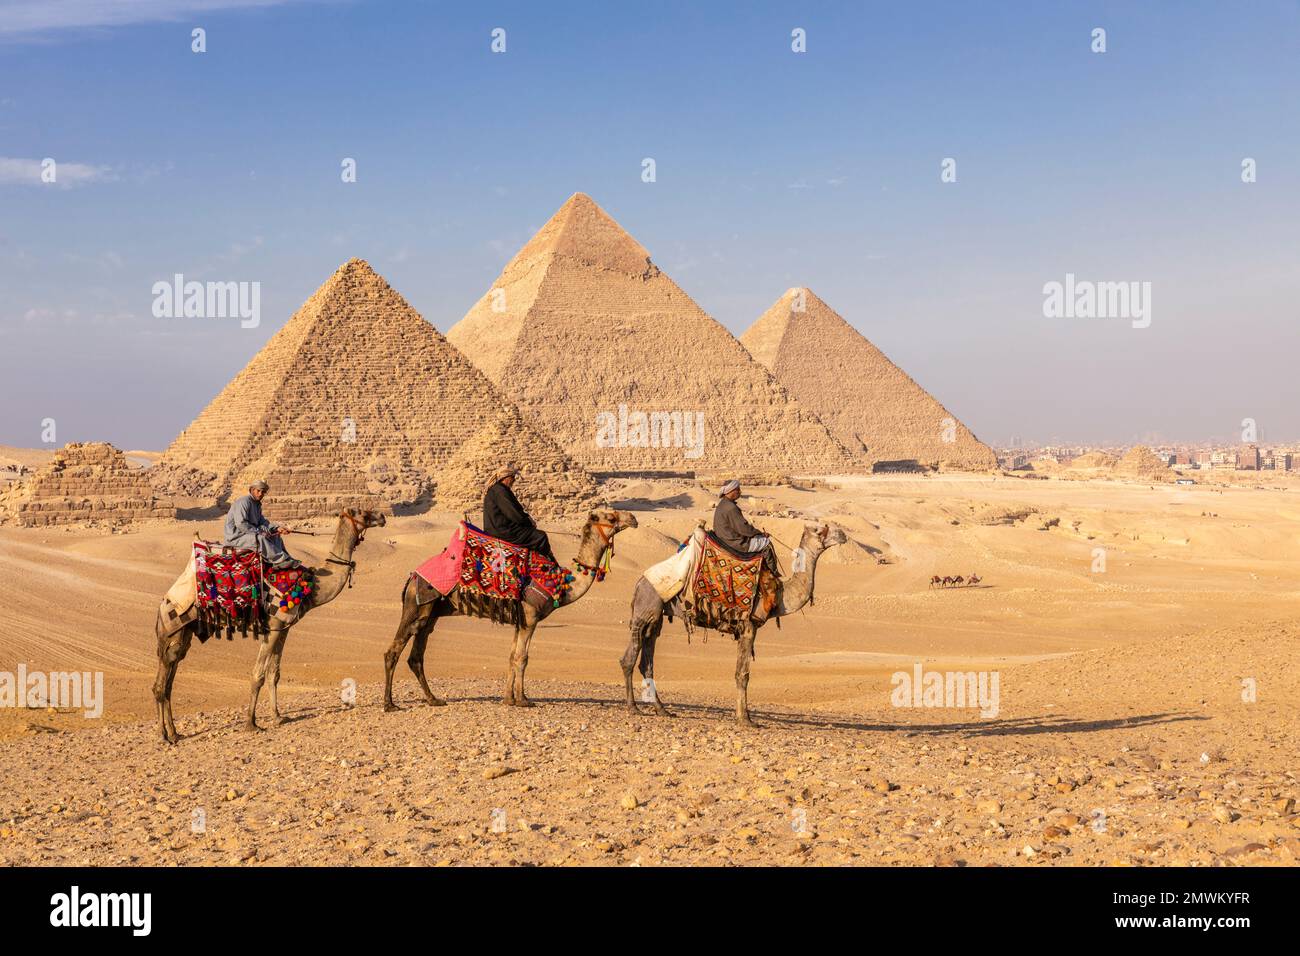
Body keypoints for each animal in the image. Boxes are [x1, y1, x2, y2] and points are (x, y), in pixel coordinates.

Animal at [151, 509, 382, 749]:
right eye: (363, 513)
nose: (382, 517)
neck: (311, 586)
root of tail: (164, 602)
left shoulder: (283, 628)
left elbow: (274, 674)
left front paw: (278, 716)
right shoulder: (273, 627)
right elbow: (258, 675)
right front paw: (251, 723)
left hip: (184, 633)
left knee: (169, 683)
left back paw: (174, 733)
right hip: (173, 628)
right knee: (161, 685)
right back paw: (163, 735)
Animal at [379, 509, 634, 712]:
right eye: (611, 517)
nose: (632, 518)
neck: (562, 582)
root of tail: (412, 577)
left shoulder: (519, 621)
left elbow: (512, 656)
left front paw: (509, 698)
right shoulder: (530, 618)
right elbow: (522, 658)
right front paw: (523, 700)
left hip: (429, 614)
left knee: (416, 657)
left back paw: (434, 699)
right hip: (416, 606)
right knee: (393, 652)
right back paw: (390, 704)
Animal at [621, 522, 847, 723]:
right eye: (818, 529)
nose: (843, 534)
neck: (780, 595)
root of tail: (640, 582)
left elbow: (740, 672)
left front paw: (742, 716)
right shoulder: (749, 626)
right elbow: (743, 674)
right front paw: (745, 719)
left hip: (656, 618)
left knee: (646, 662)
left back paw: (662, 710)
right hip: (645, 609)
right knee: (629, 659)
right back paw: (633, 708)